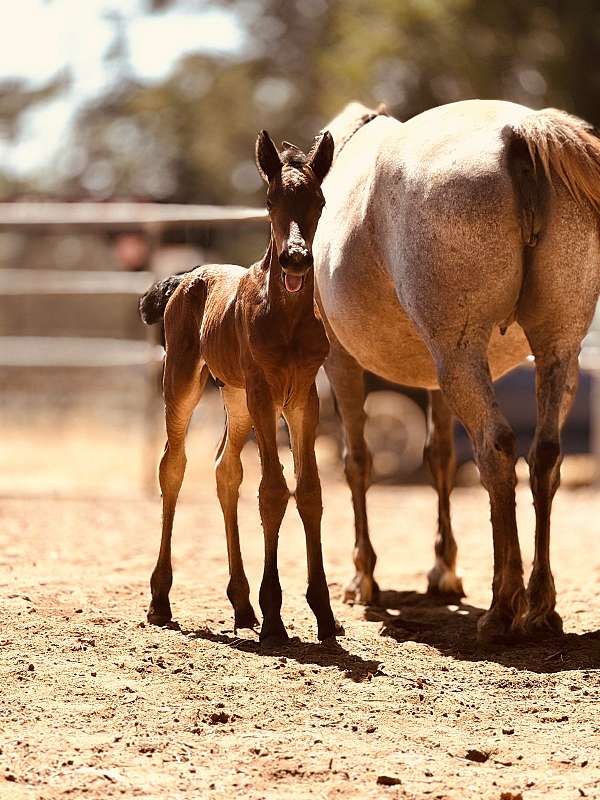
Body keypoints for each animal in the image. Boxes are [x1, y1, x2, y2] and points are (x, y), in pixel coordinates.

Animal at [138, 130, 340, 644]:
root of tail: (184, 278)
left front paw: (324, 615)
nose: (296, 258)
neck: (286, 318)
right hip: (186, 383)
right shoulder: (265, 391)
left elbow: (310, 491)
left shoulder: (303, 397)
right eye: (270, 201)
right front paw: (275, 616)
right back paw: (161, 600)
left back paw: (242, 604)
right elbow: (272, 490)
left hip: (236, 398)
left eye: (319, 200)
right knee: (173, 467)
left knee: (225, 471)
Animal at [314, 98, 600, 644]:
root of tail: (520, 131)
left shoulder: (341, 360)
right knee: (544, 455)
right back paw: (541, 606)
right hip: (554, 351)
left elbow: (357, 461)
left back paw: (504, 608)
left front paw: (364, 578)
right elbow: (440, 458)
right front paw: (443, 570)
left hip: (461, 354)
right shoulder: (436, 376)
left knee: (496, 449)